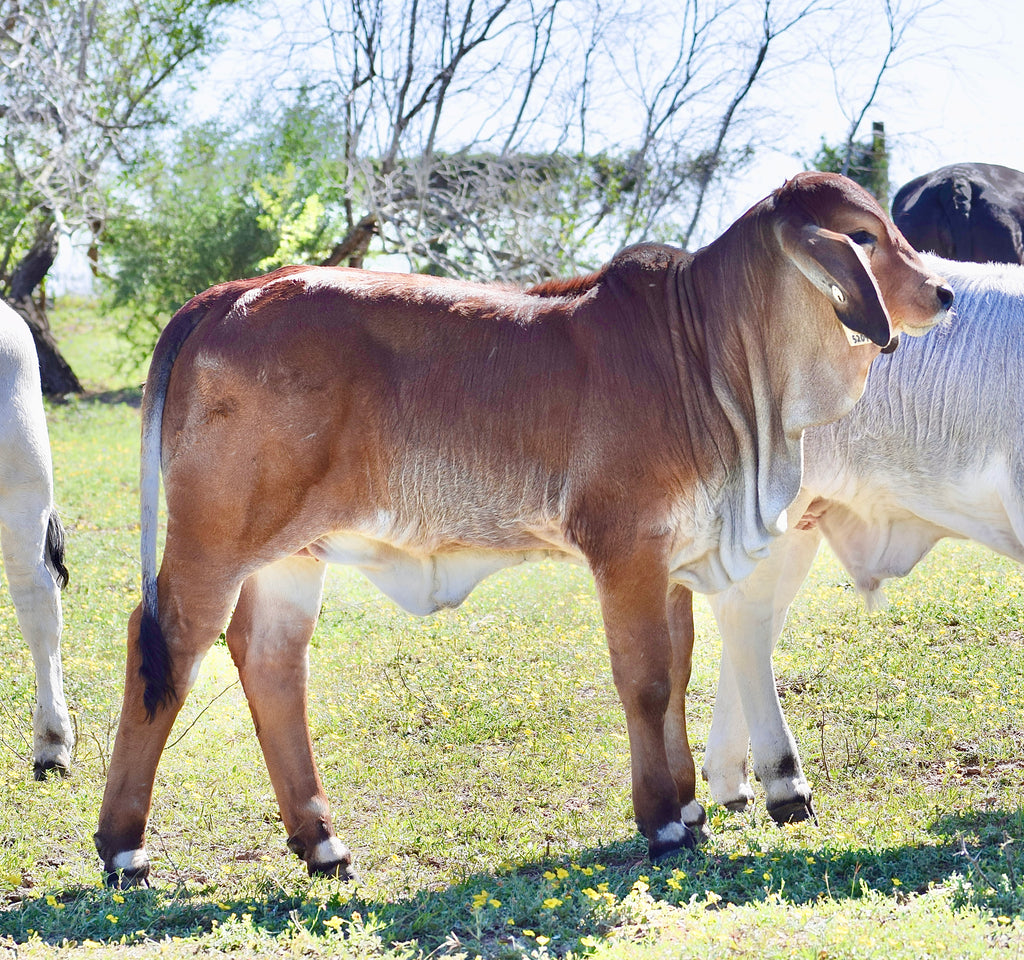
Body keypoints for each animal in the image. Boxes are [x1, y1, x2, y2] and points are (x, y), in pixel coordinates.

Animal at [96, 171, 950, 884]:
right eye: (863, 237)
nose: (943, 292)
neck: (713, 354)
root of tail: (234, 292)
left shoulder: (676, 557)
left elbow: (677, 673)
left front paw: (689, 806)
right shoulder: (626, 550)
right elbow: (645, 681)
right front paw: (663, 822)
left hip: (292, 555)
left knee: (271, 662)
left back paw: (323, 843)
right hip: (215, 540)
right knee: (165, 642)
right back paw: (126, 850)